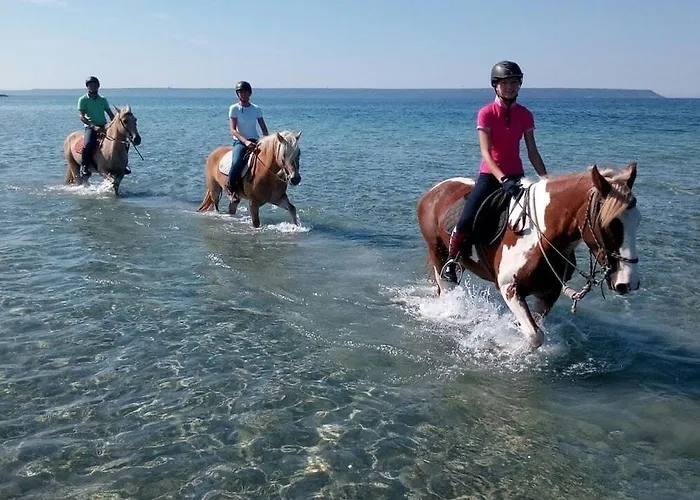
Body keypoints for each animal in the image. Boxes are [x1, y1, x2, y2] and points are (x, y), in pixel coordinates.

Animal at [416, 163, 641, 349]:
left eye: (637, 221)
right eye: (608, 225)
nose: (628, 283)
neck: (540, 234)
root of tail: (434, 191)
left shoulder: (549, 292)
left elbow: (535, 326)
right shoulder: (510, 288)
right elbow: (535, 336)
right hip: (438, 254)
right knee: (446, 287)